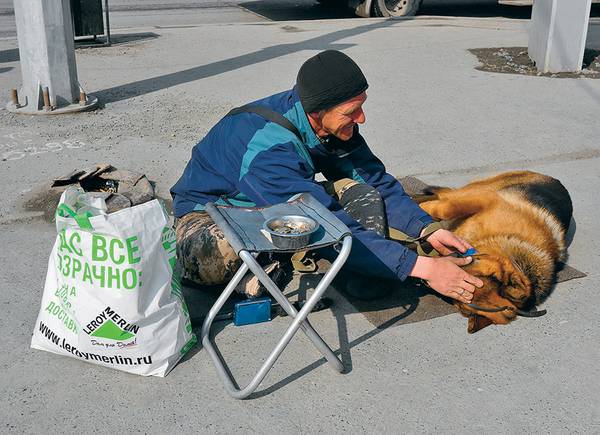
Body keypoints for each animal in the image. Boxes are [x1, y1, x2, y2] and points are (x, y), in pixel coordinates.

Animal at [418, 171, 572, 334]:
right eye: (491, 276)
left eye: (460, 296)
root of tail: (557, 181)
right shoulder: (488, 199)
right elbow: (446, 209)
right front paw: (424, 208)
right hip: (479, 189)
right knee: (444, 195)